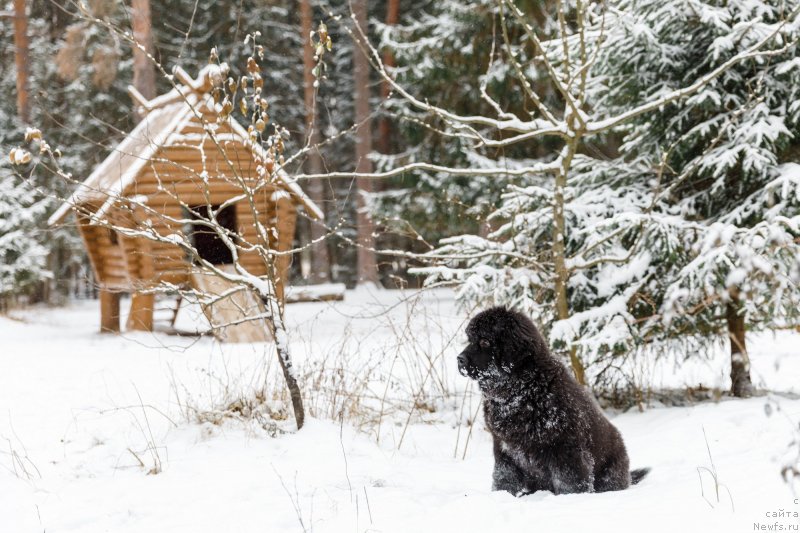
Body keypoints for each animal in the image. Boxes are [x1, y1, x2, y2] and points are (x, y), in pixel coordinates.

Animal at [456, 308, 648, 494]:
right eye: (470, 340)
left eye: (485, 342)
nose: (459, 359)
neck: (521, 391)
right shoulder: (503, 447)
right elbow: (504, 477)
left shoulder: (565, 448)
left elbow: (570, 482)